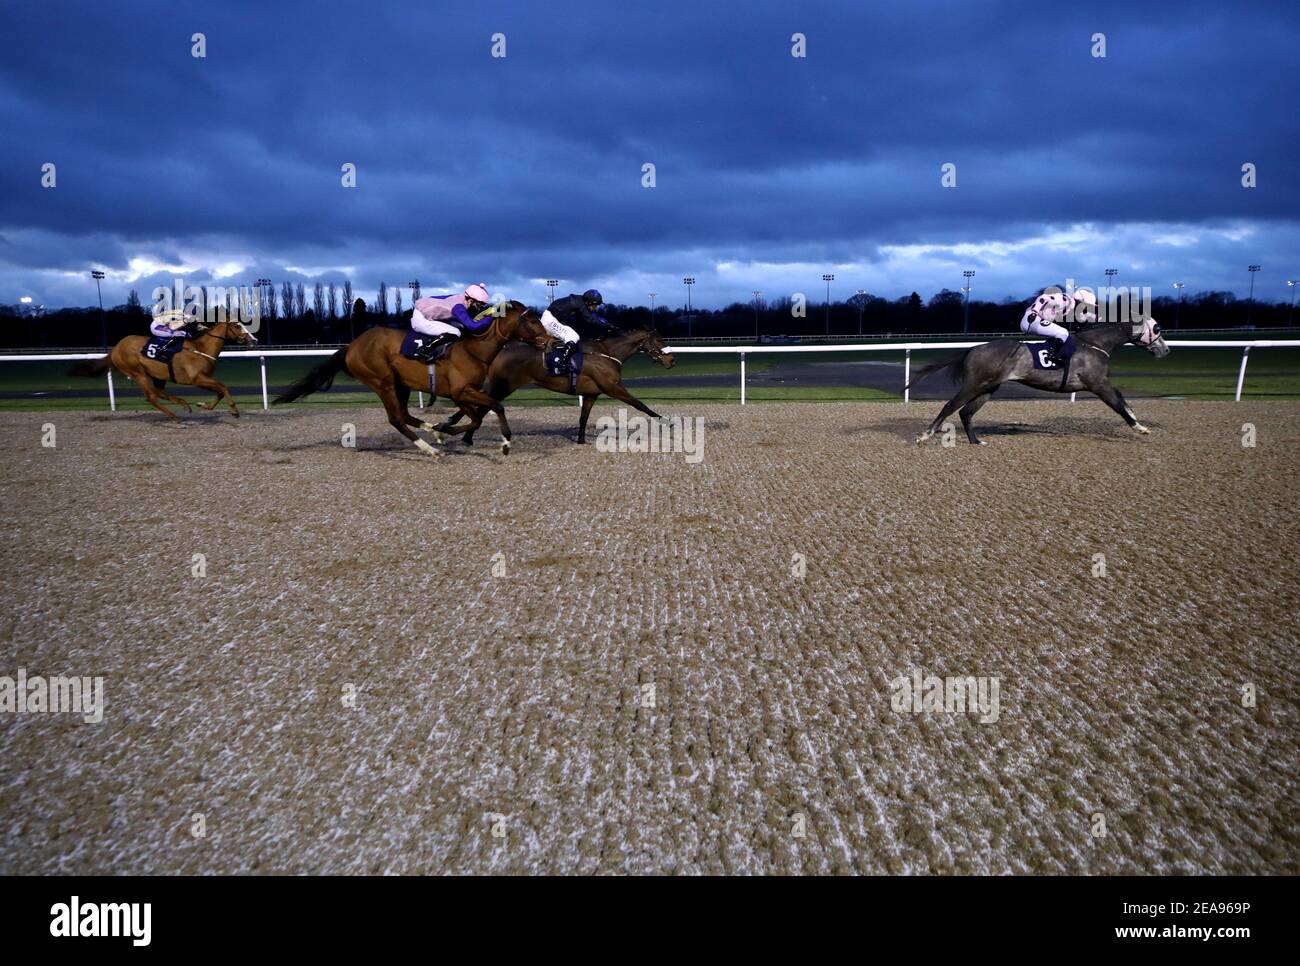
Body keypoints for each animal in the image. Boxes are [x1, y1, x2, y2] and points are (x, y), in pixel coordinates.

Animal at [67, 317, 258, 418]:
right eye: (237, 325)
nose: (254, 340)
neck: (201, 348)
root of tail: (115, 349)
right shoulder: (197, 379)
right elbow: (223, 387)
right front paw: (234, 410)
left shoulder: (204, 378)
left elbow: (220, 391)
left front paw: (202, 405)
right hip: (137, 372)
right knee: (151, 396)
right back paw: (174, 416)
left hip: (157, 375)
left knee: (158, 392)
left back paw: (184, 405)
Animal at [276, 299, 551, 457]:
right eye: (531, 319)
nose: (549, 341)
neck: (473, 350)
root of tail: (351, 347)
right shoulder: (460, 391)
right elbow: (488, 411)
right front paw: (503, 442)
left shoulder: (465, 392)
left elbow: (482, 413)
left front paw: (444, 429)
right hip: (383, 382)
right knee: (396, 419)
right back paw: (430, 449)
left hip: (401, 384)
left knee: (405, 415)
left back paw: (433, 434)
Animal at [441, 325, 676, 444]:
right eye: (659, 340)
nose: (672, 361)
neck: (607, 353)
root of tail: (502, 350)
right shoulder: (613, 387)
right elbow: (640, 404)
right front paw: (666, 421)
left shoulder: (591, 394)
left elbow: (583, 418)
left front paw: (580, 439)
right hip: (504, 386)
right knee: (483, 406)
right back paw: (465, 436)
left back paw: (452, 425)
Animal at [909, 321, 1175, 449]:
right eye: (1157, 328)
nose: (1166, 350)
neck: (1094, 345)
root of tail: (973, 349)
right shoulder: (1097, 385)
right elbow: (1118, 405)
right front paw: (1139, 428)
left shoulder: (1102, 382)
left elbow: (1124, 401)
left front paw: (1139, 423)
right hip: (975, 384)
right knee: (950, 406)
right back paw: (925, 436)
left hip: (988, 388)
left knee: (965, 413)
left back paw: (976, 441)